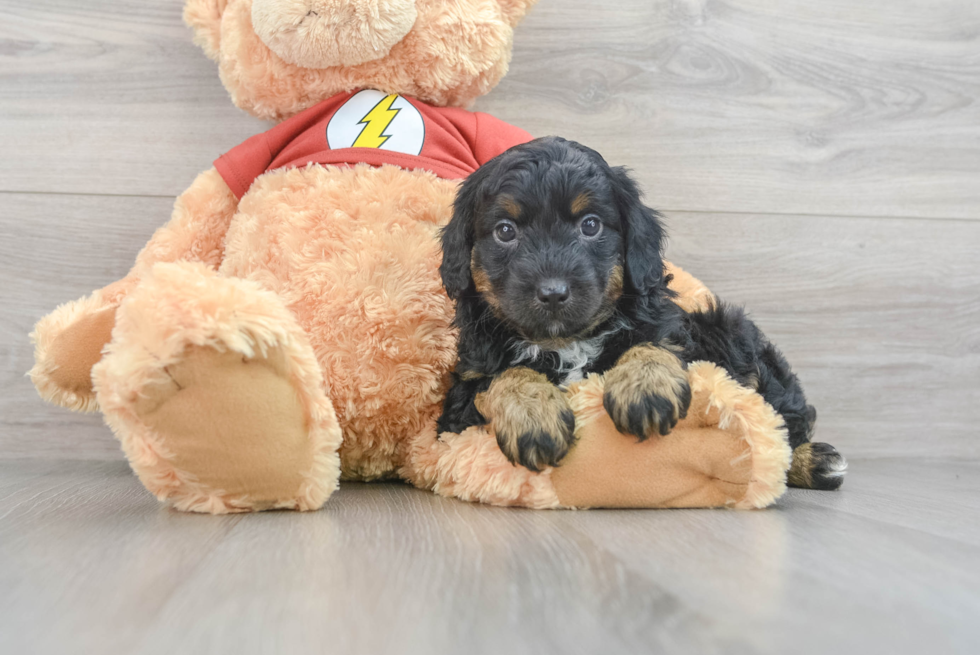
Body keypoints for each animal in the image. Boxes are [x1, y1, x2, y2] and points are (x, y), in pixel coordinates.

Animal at [436, 136, 844, 490]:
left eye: (590, 225)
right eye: (505, 231)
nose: (552, 293)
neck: (567, 343)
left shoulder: (671, 332)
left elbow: (651, 342)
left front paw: (646, 388)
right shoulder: (460, 403)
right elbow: (501, 377)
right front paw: (534, 417)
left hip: (730, 330)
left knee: (780, 422)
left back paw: (816, 461)